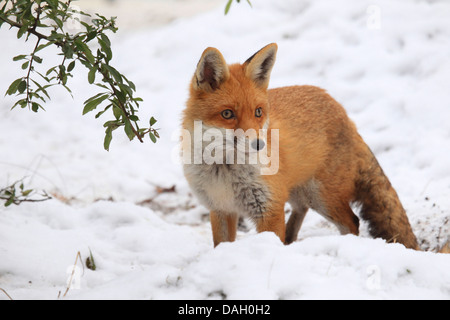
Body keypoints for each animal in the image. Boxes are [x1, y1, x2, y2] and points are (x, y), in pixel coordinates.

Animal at [182, 43, 418, 250]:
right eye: (227, 114)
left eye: (258, 112)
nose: (259, 144)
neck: (224, 170)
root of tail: (344, 113)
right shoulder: (221, 209)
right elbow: (221, 245)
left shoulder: (269, 208)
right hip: (299, 192)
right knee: (301, 210)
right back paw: (289, 240)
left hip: (323, 197)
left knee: (352, 221)